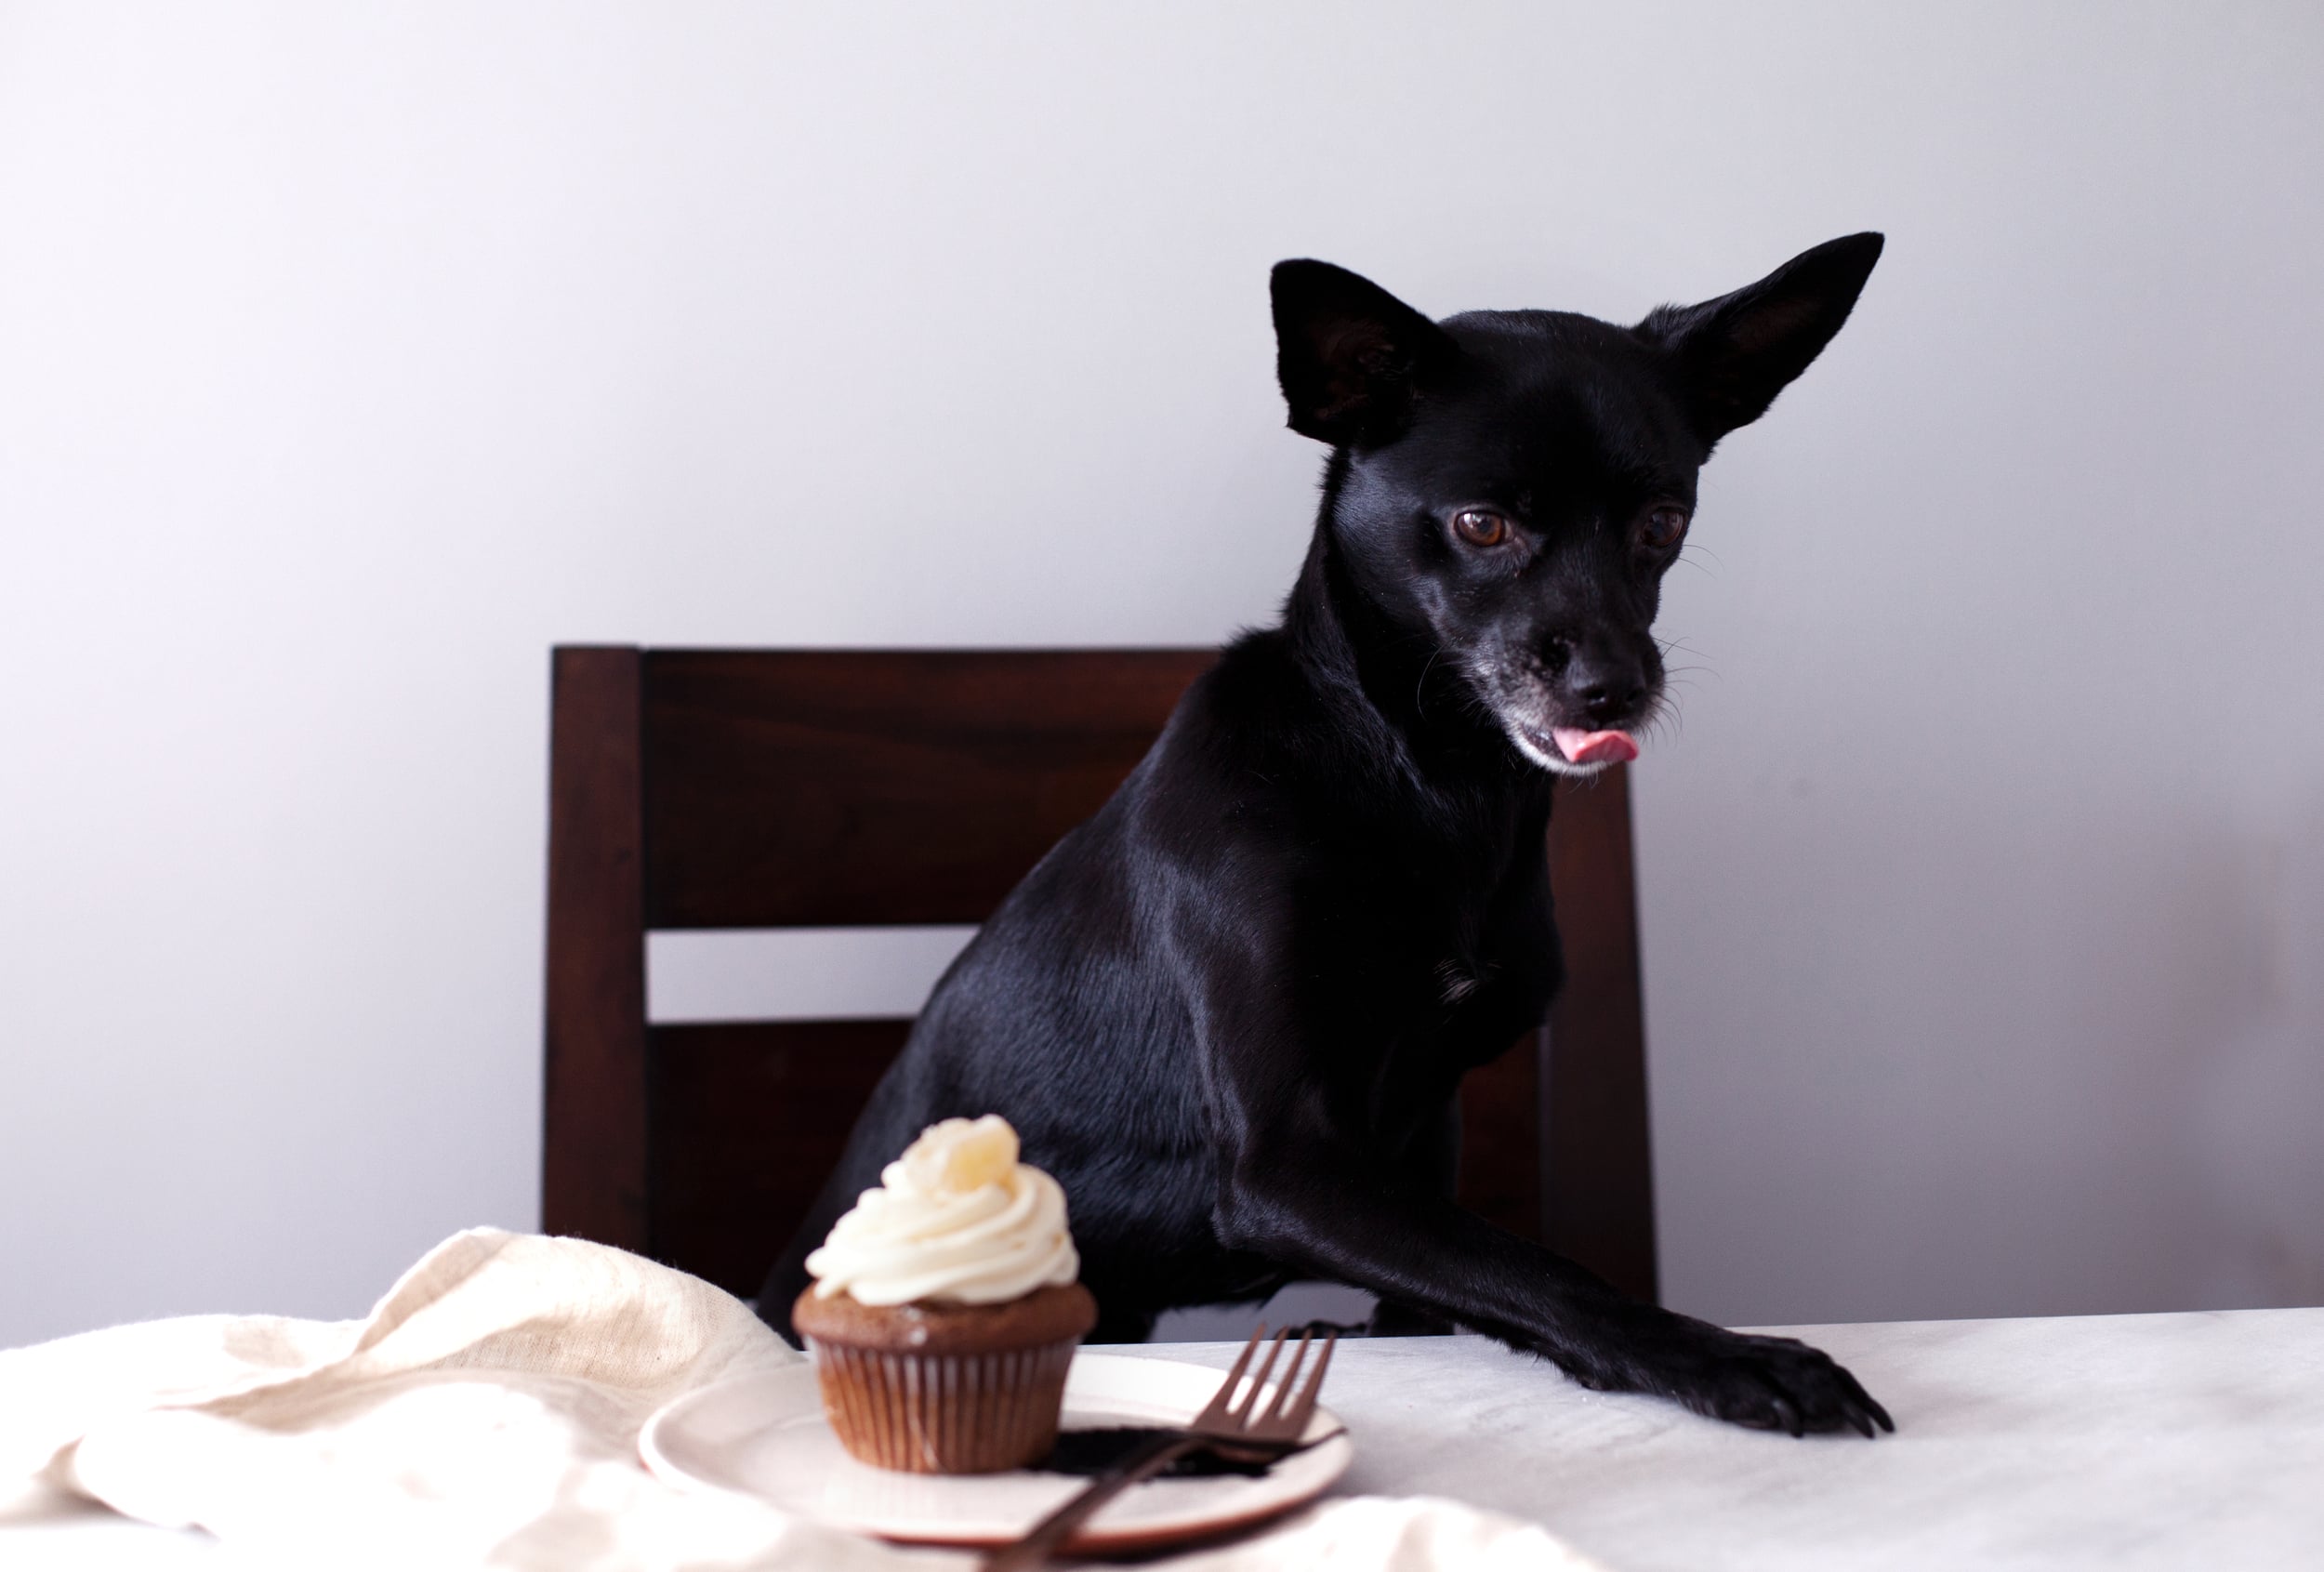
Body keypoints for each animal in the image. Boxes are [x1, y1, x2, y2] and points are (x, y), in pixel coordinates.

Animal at [762, 235, 1887, 1432]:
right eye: (1481, 524)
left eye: (1660, 525)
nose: (1612, 686)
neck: (1419, 783)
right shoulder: (1288, 1164)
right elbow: (1535, 1265)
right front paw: (1721, 1354)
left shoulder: (1421, 1131)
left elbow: (1459, 1284)